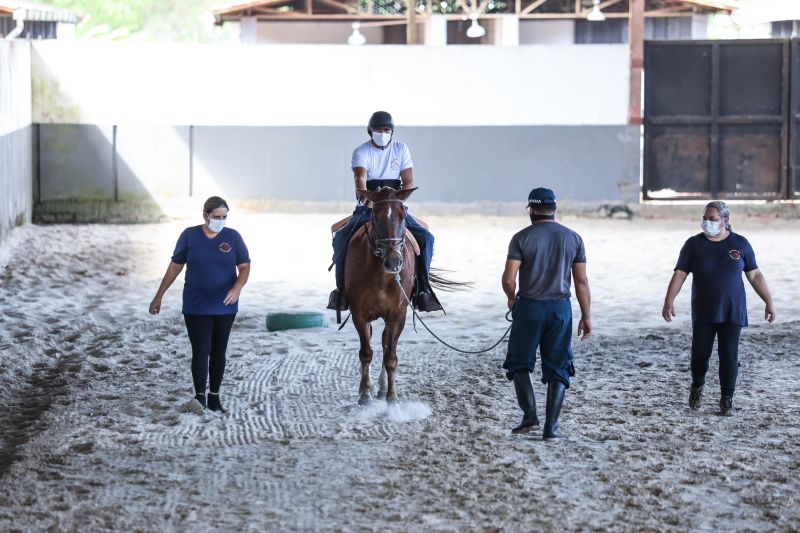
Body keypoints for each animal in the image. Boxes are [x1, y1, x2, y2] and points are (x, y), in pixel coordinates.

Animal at [344, 187, 418, 404]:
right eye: (375, 217)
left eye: (403, 216)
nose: (394, 261)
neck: (383, 276)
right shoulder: (359, 314)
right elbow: (366, 353)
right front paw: (364, 394)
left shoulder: (397, 315)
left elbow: (390, 356)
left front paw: (392, 398)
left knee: (386, 344)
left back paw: (383, 388)